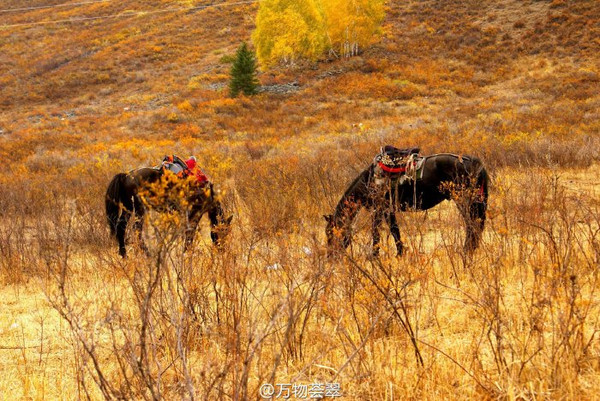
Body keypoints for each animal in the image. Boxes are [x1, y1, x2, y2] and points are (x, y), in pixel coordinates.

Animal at [324, 152, 488, 255]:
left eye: (330, 232)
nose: (331, 256)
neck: (369, 181)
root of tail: (475, 162)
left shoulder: (378, 210)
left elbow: (376, 234)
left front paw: (373, 256)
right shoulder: (388, 210)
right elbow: (395, 231)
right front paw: (400, 253)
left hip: (465, 201)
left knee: (472, 226)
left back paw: (466, 250)